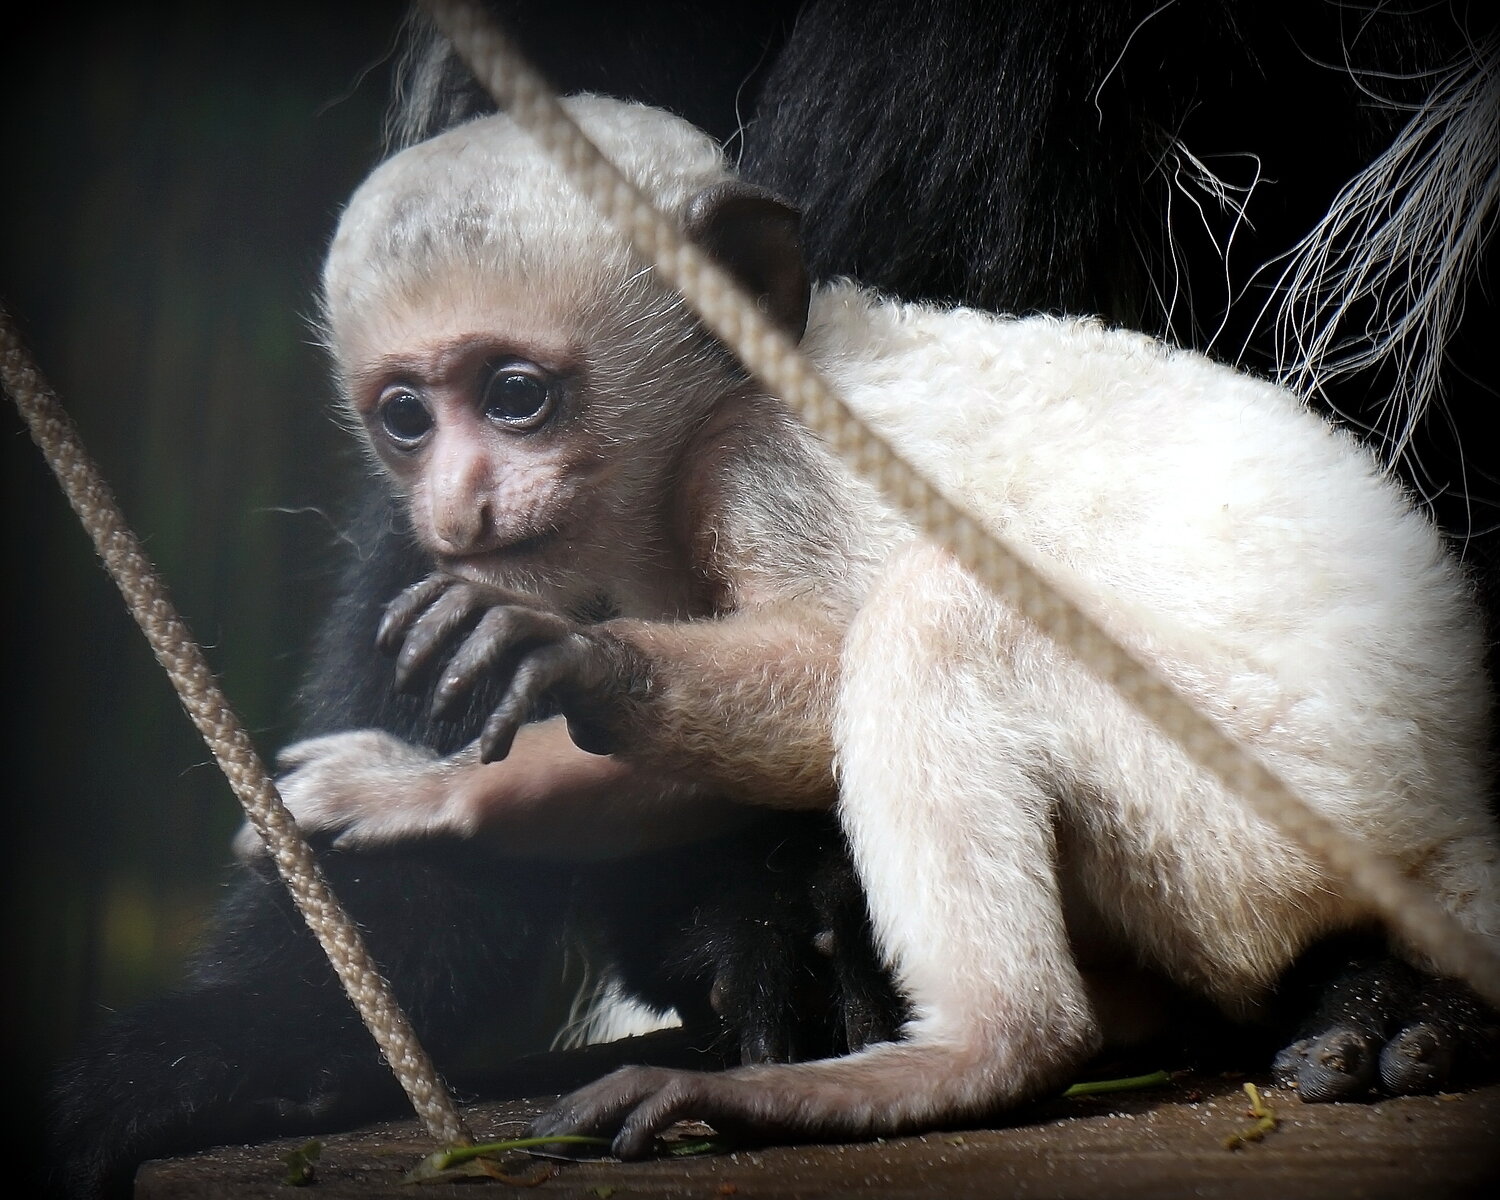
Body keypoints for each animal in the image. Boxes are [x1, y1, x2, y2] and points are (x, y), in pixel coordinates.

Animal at [278, 94, 1499, 1157]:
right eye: (406, 419)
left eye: (516, 397)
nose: (457, 510)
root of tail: (1447, 804)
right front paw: (431, 791)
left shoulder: (760, 466)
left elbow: (822, 666)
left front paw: (576, 661)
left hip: (1274, 810)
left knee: (936, 619)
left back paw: (977, 1052)